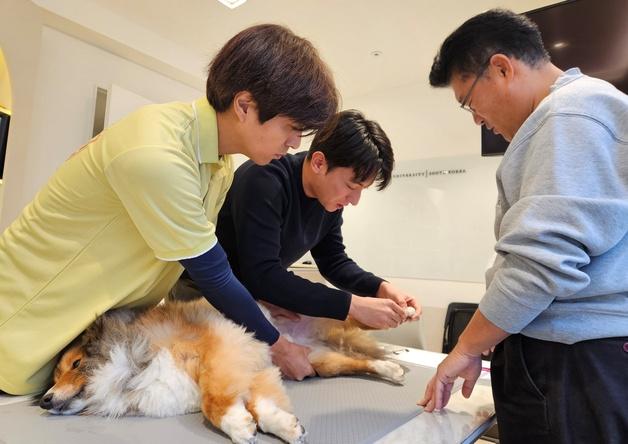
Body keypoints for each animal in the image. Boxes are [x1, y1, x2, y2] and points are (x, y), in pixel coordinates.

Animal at [41, 298, 410, 444]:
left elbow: (214, 399)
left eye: (75, 364)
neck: (130, 363)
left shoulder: (222, 349)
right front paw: (283, 426)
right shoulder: (253, 365)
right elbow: (261, 403)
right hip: (316, 361)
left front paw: (236, 424)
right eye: (55, 377)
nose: (44, 399)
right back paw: (391, 368)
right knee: (357, 362)